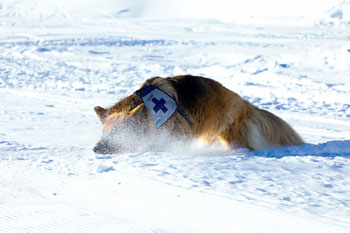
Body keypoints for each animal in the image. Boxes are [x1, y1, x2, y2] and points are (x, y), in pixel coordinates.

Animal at [93, 75, 304, 154]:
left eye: (120, 132)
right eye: (104, 132)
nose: (96, 149)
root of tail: (242, 102)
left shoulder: (176, 135)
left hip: (231, 137)